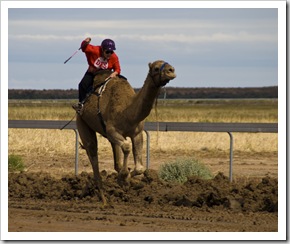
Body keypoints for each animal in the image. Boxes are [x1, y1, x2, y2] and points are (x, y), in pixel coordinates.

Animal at [76, 59, 176, 204]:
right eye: (156, 68)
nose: (171, 70)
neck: (127, 112)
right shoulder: (112, 131)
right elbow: (127, 147)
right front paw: (124, 177)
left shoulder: (137, 133)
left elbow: (139, 168)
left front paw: (128, 179)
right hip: (82, 122)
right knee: (92, 153)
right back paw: (103, 200)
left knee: (113, 159)